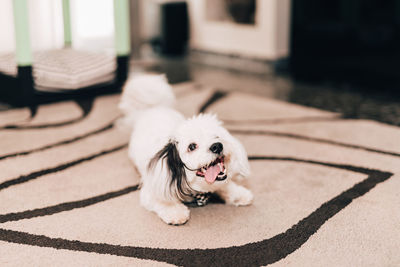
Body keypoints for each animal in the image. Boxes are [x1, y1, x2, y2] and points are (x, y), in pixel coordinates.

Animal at [119, 74, 253, 225]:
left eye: (217, 136)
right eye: (192, 146)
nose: (217, 146)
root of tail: (152, 109)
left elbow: (225, 184)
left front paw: (238, 194)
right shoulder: (152, 191)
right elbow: (164, 201)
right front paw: (175, 212)